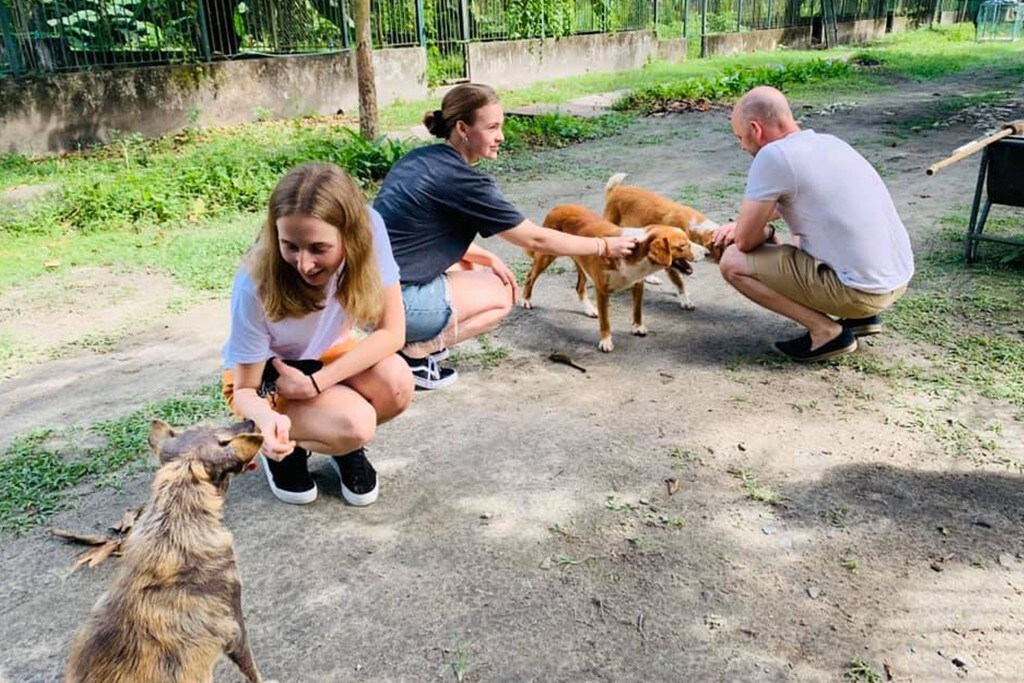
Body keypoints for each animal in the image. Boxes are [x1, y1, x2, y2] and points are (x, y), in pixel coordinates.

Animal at [524, 202, 708, 352]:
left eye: (689, 240)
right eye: (682, 245)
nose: (707, 252)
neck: (636, 252)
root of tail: (558, 207)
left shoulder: (637, 284)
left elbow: (637, 311)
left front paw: (637, 327)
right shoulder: (602, 290)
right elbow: (606, 321)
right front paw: (606, 342)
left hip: (581, 263)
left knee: (579, 287)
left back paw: (589, 309)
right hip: (546, 254)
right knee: (529, 276)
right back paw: (526, 300)